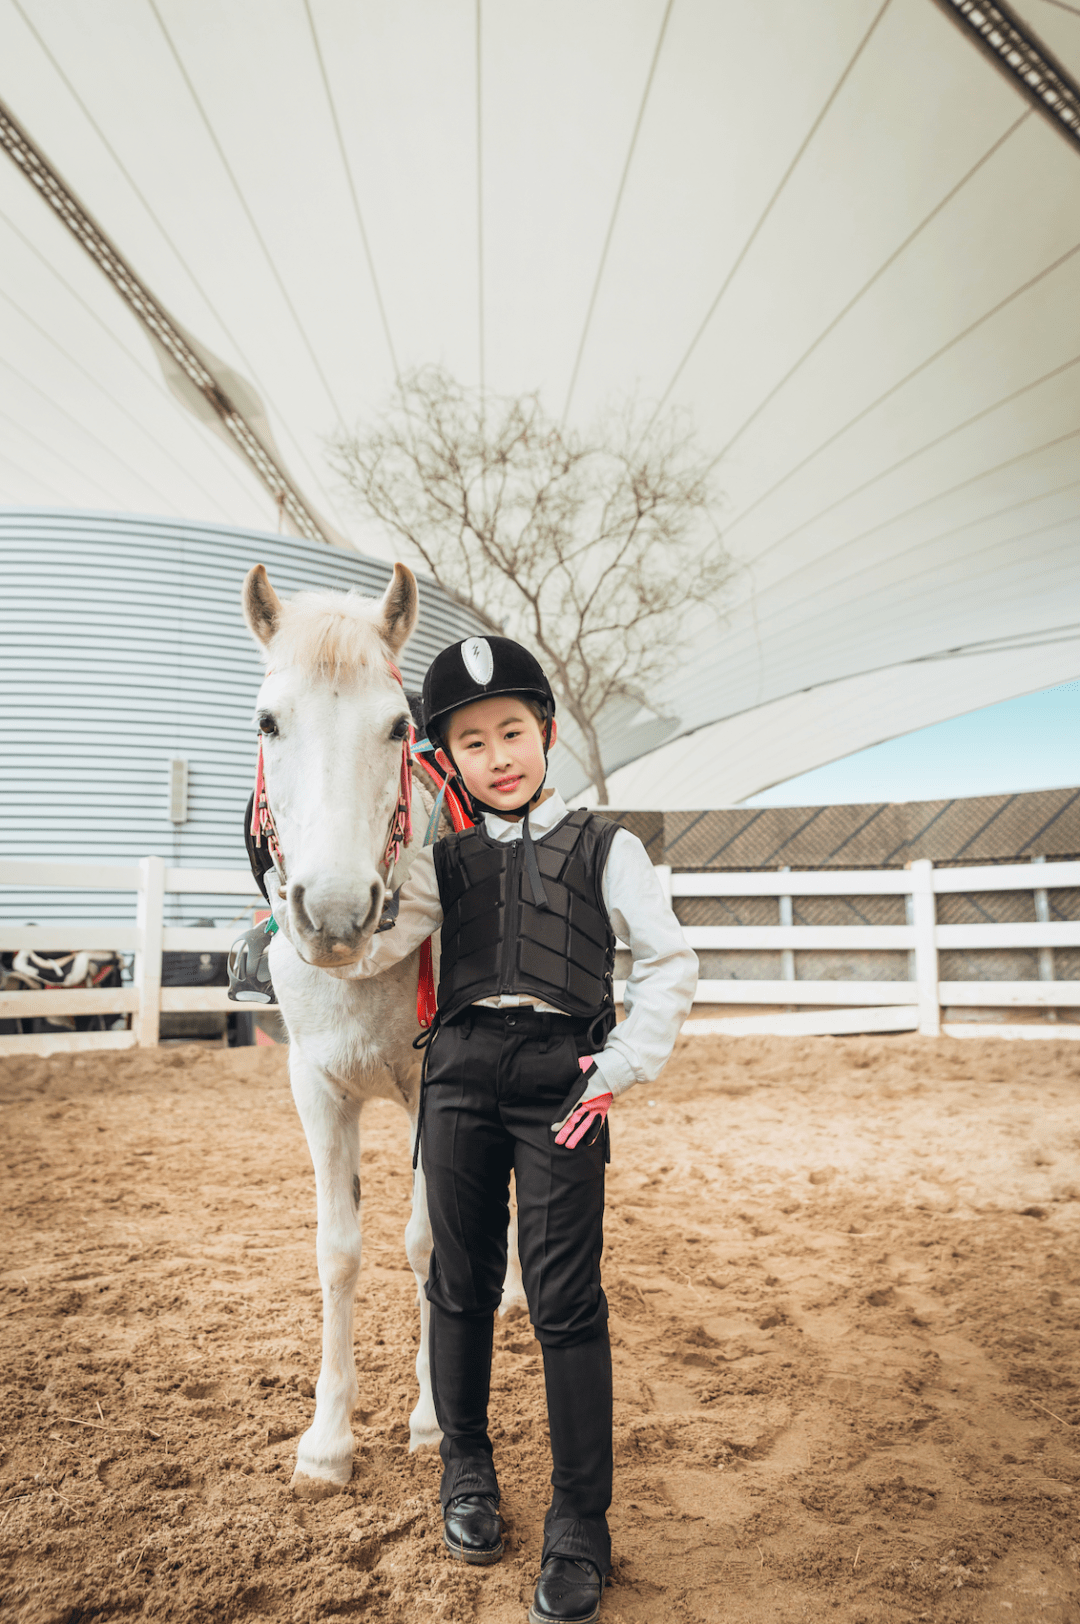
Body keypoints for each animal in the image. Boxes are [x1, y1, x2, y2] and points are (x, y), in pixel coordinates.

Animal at [245, 561, 529, 1494]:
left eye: (398, 725)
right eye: (269, 721)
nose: (334, 912)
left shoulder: (430, 1090)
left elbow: (428, 1243)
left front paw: (434, 1417)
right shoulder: (316, 1088)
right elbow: (339, 1250)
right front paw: (328, 1439)